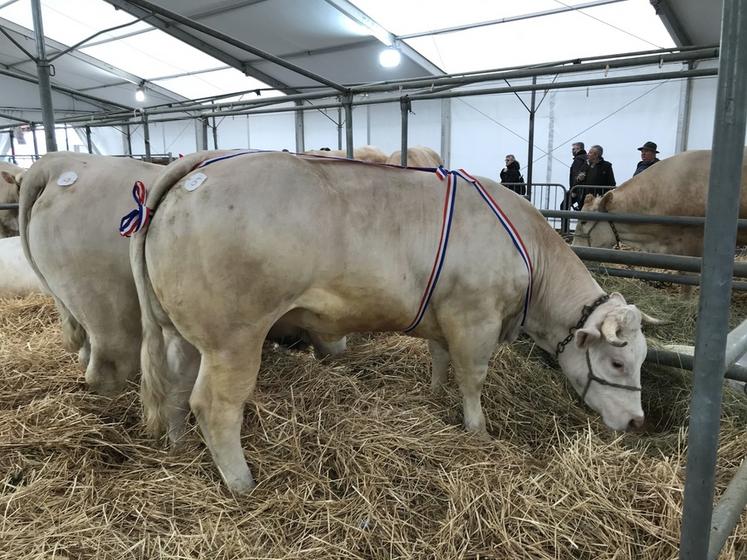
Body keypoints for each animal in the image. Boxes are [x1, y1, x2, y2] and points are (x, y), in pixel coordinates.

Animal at [134, 150, 660, 494]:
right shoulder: (475, 317)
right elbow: (473, 378)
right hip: (234, 338)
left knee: (176, 388)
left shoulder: (446, 316)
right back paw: (243, 484)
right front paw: (477, 431)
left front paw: (434, 395)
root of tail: (197, 167)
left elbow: (440, 360)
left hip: (180, 332)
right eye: (617, 363)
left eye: (641, 359)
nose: (637, 422)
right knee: (215, 407)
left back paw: (180, 448)